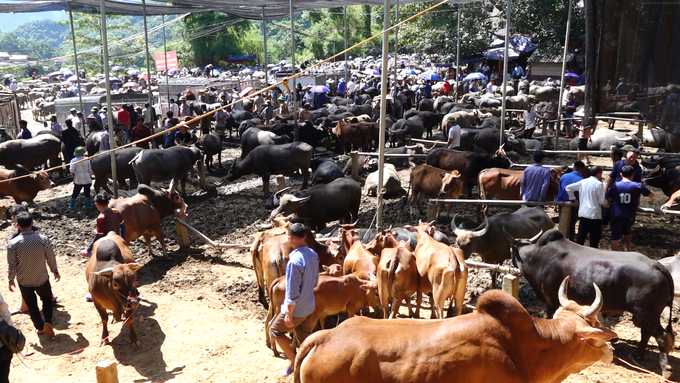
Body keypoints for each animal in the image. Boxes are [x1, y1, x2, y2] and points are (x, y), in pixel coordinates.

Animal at [504, 230, 676, 380]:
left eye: (511, 251)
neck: (536, 256)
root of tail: (656, 265)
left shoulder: (551, 301)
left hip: (647, 313)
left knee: (660, 336)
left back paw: (665, 369)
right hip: (644, 315)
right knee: (646, 332)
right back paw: (637, 354)